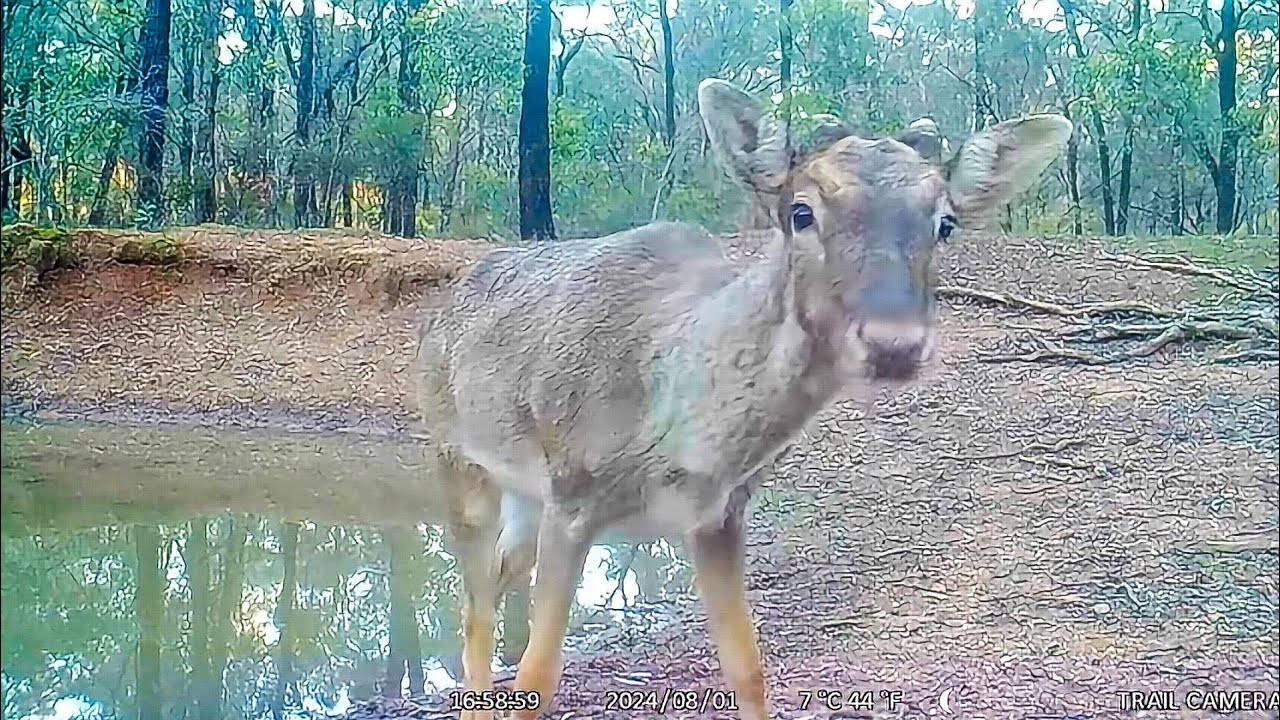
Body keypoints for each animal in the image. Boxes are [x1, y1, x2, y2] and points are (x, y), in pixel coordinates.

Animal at [414, 78, 1072, 720]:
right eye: (801, 211)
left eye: (945, 222)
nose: (895, 344)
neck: (682, 443)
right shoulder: (575, 490)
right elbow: (539, 676)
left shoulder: (719, 514)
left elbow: (748, 669)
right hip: (454, 453)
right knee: (474, 606)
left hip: (526, 492)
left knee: (495, 578)